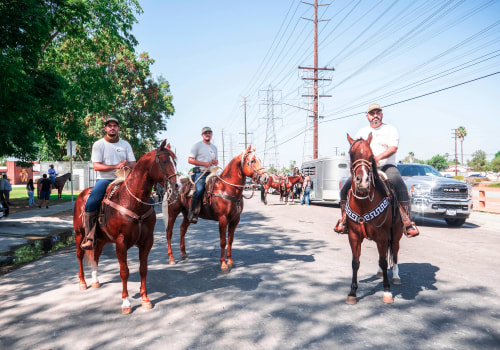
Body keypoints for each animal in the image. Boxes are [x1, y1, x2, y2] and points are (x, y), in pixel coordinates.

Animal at [72, 139, 178, 314]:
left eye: (175, 162)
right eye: (163, 161)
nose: (177, 186)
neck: (132, 201)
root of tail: (82, 194)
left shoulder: (147, 241)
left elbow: (143, 269)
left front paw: (145, 299)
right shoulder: (121, 242)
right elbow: (124, 271)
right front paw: (126, 303)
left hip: (101, 239)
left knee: (96, 255)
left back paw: (95, 280)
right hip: (80, 234)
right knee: (80, 255)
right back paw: (82, 282)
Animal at [165, 145, 268, 274]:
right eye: (252, 161)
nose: (266, 178)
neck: (227, 188)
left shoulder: (235, 220)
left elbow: (230, 240)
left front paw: (230, 261)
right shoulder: (223, 219)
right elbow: (223, 241)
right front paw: (223, 265)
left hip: (187, 214)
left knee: (182, 229)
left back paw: (184, 254)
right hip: (172, 213)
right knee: (169, 232)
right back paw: (171, 258)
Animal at [342, 133, 404, 304]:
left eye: (370, 156)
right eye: (351, 154)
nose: (362, 181)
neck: (363, 204)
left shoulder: (382, 236)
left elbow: (384, 262)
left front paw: (387, 292)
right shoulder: (354, 236)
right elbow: (355, 262)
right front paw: (352, 292)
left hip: (396, 233)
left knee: (394, 253)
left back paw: (396, 276)